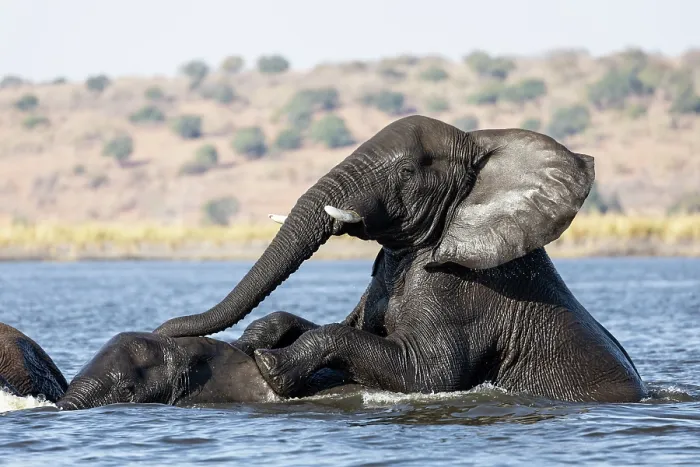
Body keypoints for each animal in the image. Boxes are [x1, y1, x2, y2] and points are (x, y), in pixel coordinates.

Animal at [153, 115, 647, 403]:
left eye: (408, 172)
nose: (160, 329)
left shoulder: (467, 290)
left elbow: (431, 372)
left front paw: (272, 367)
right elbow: (347, 326)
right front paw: (253, 341)